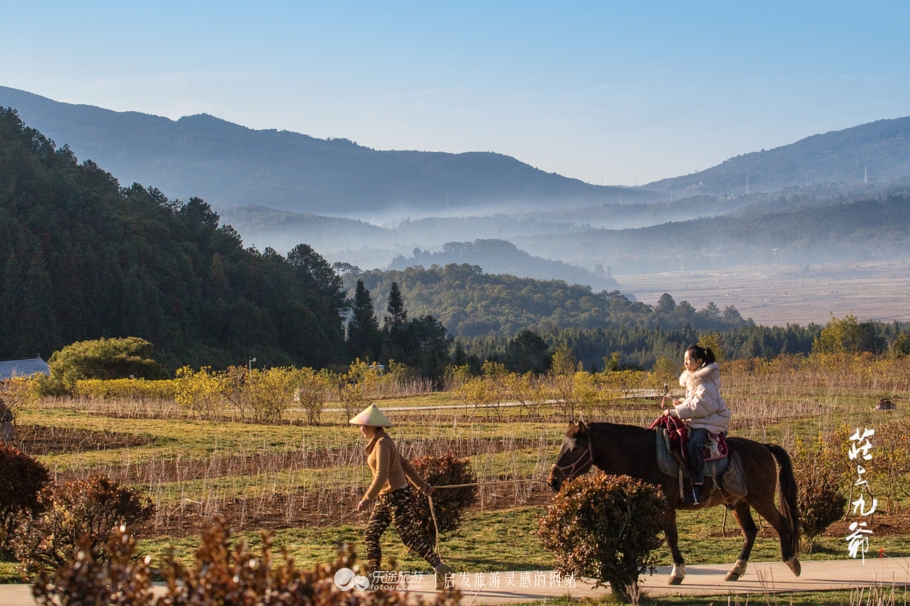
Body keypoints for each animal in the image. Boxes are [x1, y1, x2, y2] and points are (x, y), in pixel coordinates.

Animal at [544, 420, 800, 588]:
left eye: (575, 448)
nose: (553, 480)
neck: (641, 455)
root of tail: (764, 447)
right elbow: (626, 535)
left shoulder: (666, 506)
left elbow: (670, 536)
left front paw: (677, 572)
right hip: (738, 503)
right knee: (750, 531)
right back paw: (735, 571)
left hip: (761, 499)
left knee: (782, 524)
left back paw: (792, 562)